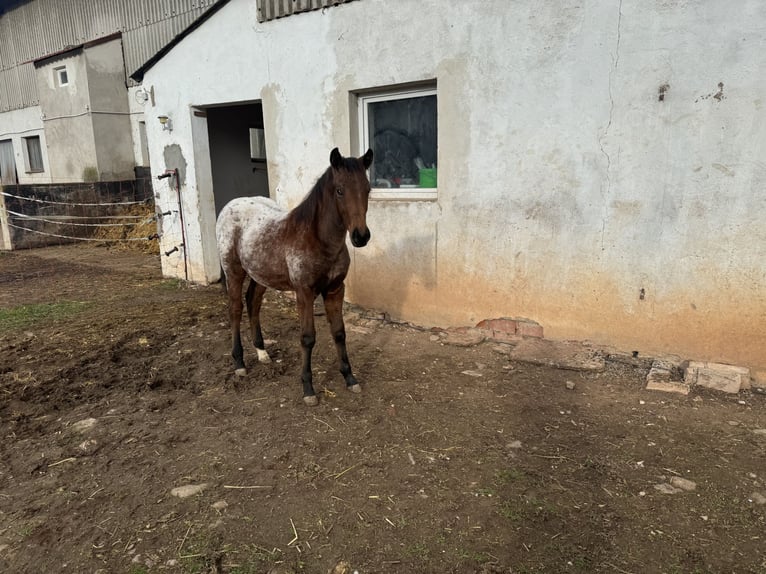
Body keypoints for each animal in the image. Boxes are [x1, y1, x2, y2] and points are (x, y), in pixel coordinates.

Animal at [216, 150, 376, 410]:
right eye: (340, 190)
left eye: (368, 189)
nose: (361, 236)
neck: (317, 239)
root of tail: (230, 205)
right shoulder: (305, 292)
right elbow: (308, 338)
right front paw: (308, 389)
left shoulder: (335, 290)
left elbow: (339, 332)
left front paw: (350, 378)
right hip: (234, 271)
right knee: (235, 309)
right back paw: (239, 363)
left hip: (261, 274)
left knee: (253, 303)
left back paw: (262, 353)